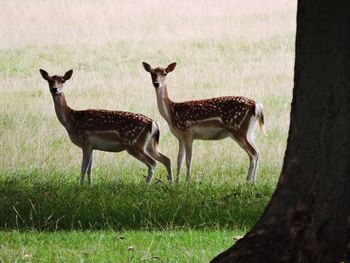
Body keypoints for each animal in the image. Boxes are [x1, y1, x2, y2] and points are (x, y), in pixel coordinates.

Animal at [39, 69, 172, 187]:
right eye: (49, 80)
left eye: (63, 80)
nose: (55, 89)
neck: (71, 120)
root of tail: (153, 123)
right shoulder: (92, 146)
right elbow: (90, 169)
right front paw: (89, 186)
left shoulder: (85, 142)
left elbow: (83, 168)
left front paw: (80, 187)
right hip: (149, 144)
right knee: (166, 159)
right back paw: (171, 183)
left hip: (133, 143)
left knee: (153, 163)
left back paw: (146, 186)